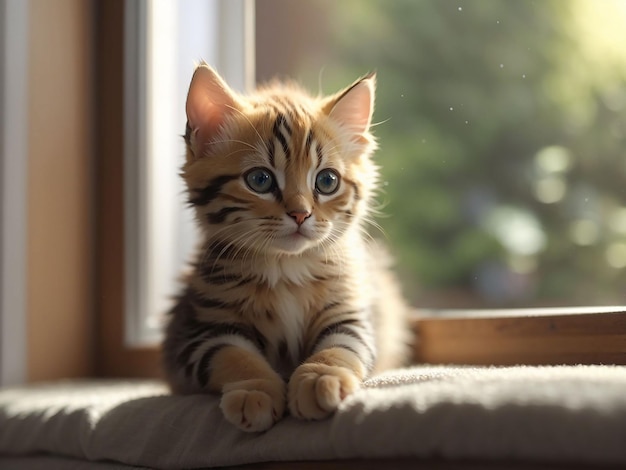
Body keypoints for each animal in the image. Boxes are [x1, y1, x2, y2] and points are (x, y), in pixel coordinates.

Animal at [163, 64, 412, 432]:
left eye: (327, 181)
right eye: (260, 180)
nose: (300, 214)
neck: (287, 269)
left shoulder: (352, 314)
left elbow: (342, 346)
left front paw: (320, 376)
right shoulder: (199, 332)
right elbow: (233, 356)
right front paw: (255, 389)